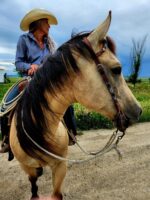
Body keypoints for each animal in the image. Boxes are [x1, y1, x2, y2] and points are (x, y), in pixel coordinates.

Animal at [9, 11, 142, 199]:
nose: (139, 110)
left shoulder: (60, 167)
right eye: (117, 69)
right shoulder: (28, 168)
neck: (40, 128)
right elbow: (34, 190)